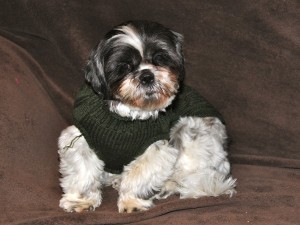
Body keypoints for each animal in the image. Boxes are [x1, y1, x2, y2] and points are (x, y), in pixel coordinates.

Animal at [58, 20, 237, 213]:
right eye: (124, 67)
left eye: (160, 59)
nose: (147, 75)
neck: (128, 116)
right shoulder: (80, 138)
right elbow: (82, 173)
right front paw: (80, 201)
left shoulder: (156, 148)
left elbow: (139, 175)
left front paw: (131, 201)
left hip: (190, 129)